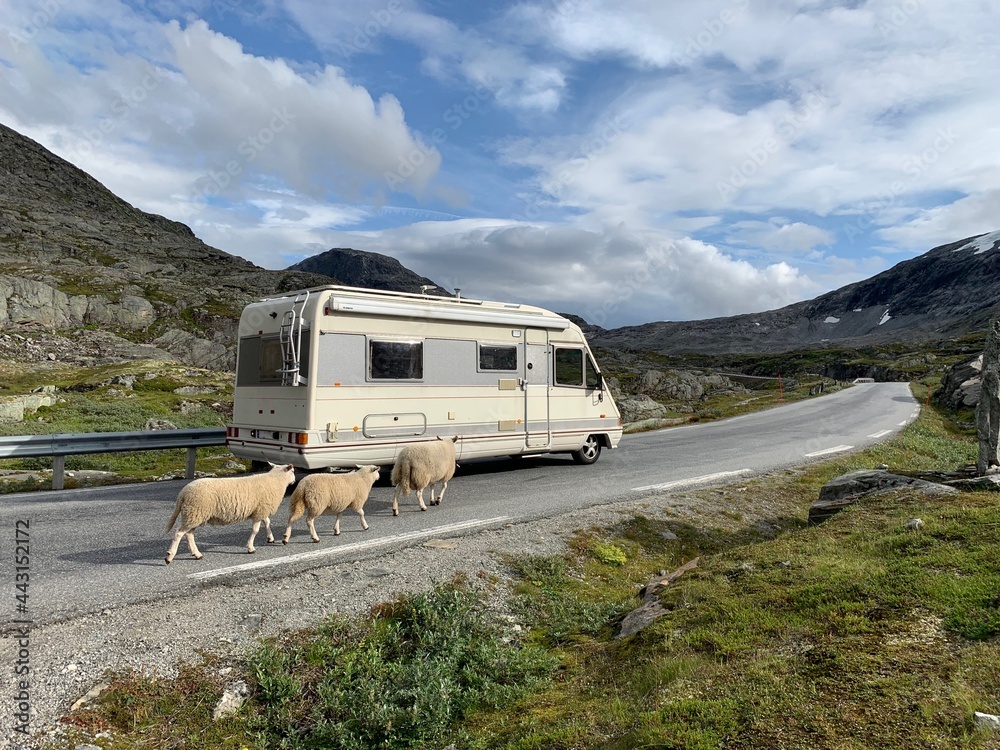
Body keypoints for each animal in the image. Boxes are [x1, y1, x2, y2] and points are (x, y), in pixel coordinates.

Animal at [164, 464, 294, 564]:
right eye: (293, 471)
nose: (293, 481)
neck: (276, 479)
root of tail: (183, 493)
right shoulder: (261, 510)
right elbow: (255, 530)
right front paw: (250, 548)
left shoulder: (260, 510)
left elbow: (267, 522)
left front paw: (270, 538)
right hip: (195, 512)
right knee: (179, 533)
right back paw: (169, 557)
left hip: (194, 514)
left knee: (189, 534)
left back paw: (197, 554)